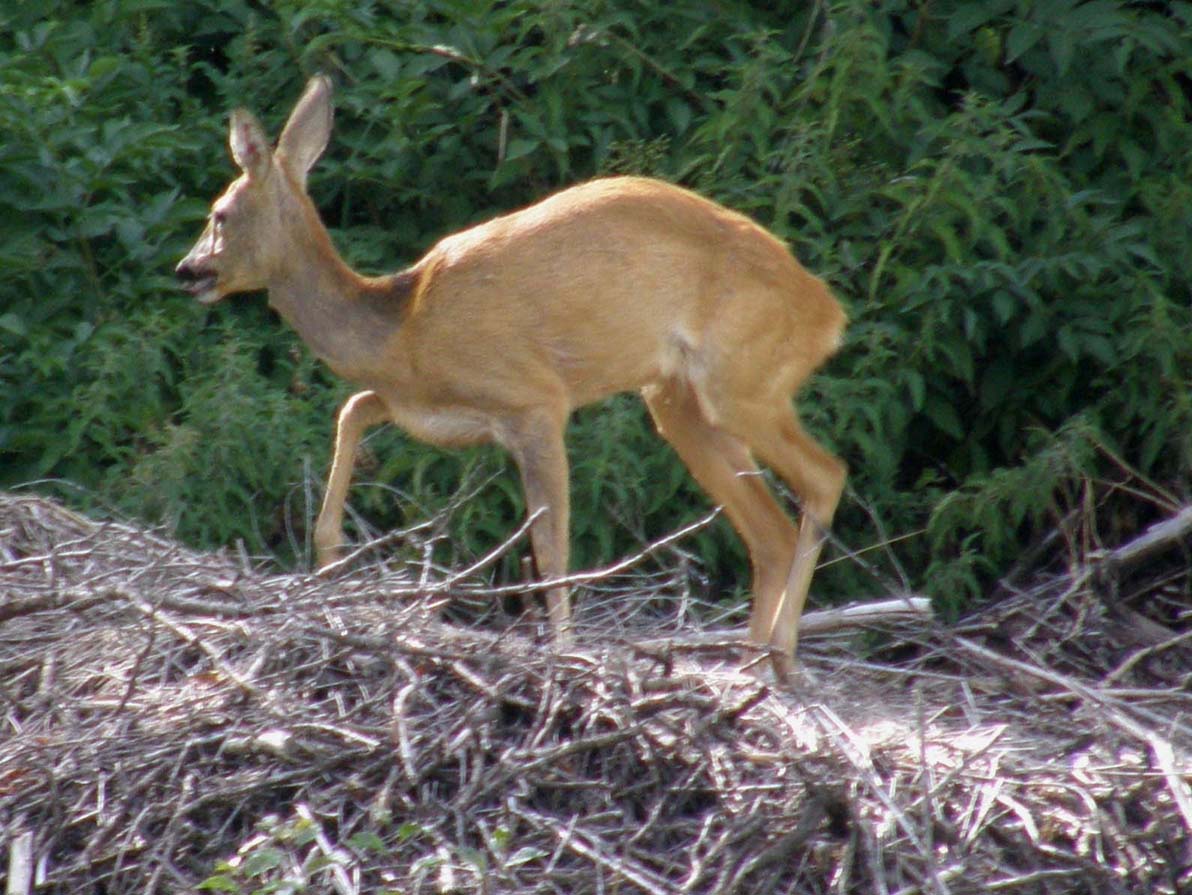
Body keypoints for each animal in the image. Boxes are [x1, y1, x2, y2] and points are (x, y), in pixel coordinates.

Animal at [176, 76, 848, 676]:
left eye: (220, 214)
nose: (187, 270)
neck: (404, 326)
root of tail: (830, 315)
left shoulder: (534, 399)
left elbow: (552, 546)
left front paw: (565, 652)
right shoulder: (427, 406)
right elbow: (354, 407)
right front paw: (327, 557)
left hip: (741, 379)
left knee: (825, 475)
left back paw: (783, 658)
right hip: (677, 399)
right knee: (769, 530)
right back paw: (753, 665)